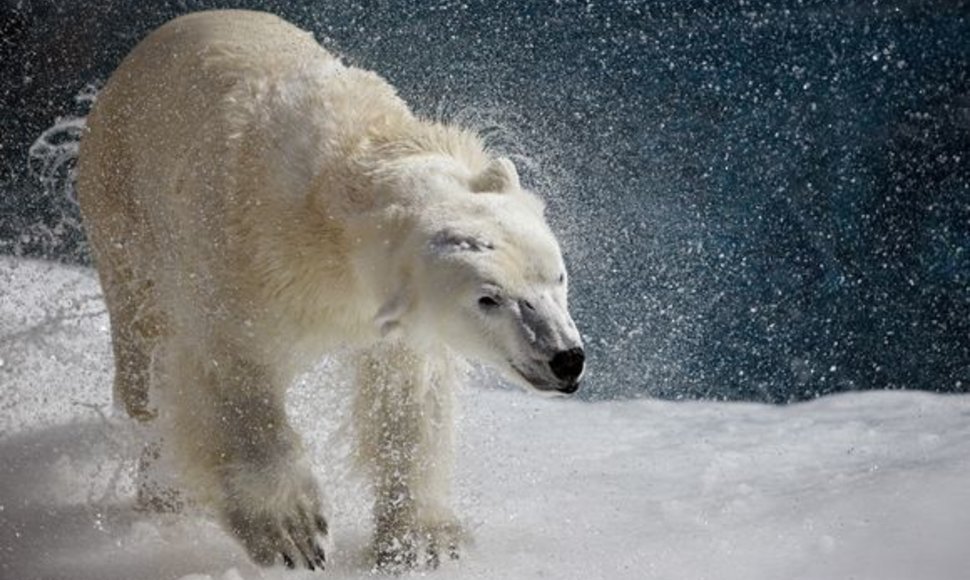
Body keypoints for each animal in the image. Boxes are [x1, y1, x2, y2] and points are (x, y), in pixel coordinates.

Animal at [75, 7, 584, 572]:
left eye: (557, 276)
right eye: (488, 299)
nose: (566, 358)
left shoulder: (386, 321)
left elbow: (405, 397)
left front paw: (421, 541)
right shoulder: (245, 262)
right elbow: (224, 373)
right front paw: (294, 532)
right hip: (124, 209)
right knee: (145, 361)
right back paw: (163, 496)